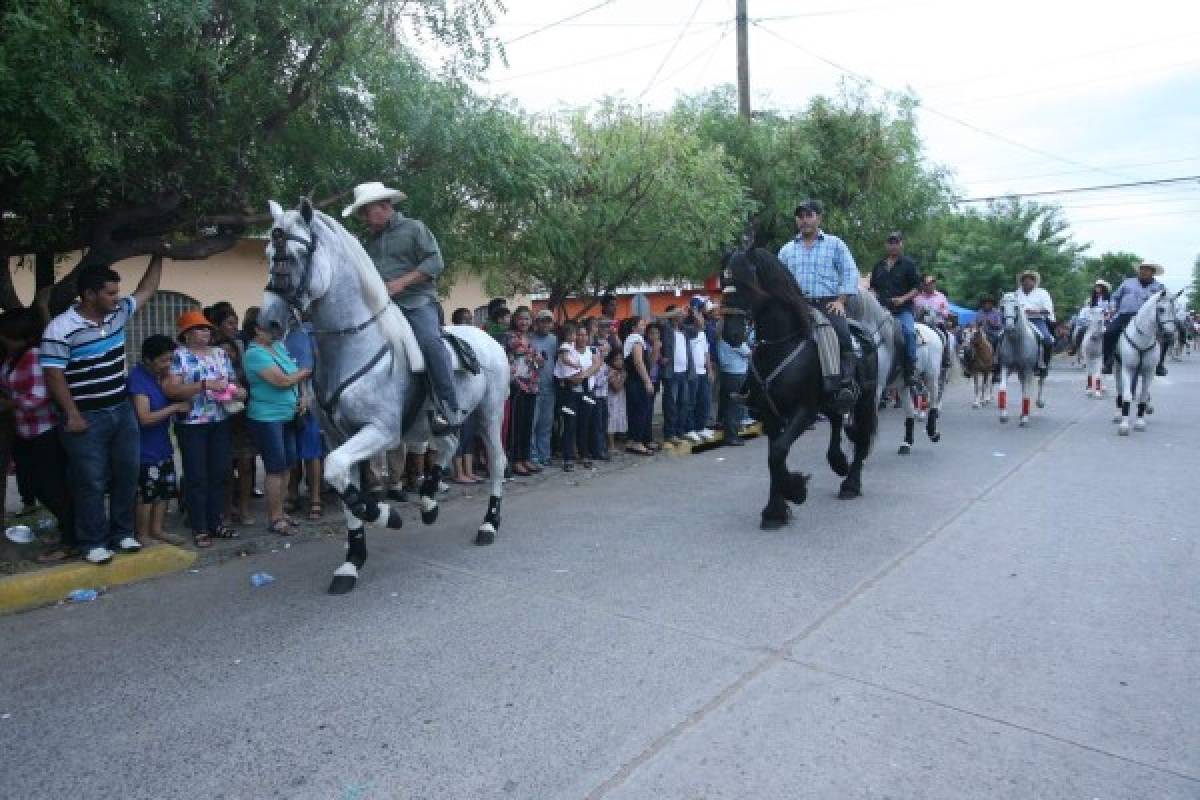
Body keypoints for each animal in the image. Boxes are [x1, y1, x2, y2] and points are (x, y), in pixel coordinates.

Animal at [720, 247, 883, 527]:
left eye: (746, 282)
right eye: (723, 281)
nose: (731, 334)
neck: (781, 344)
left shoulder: (804, 411)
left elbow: (778, 452)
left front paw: (795, 491)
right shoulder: (770, 415)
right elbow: (774, 457)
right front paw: (775, 510)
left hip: (864, 400)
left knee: (861, 438)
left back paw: (850, 484)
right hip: (830, 402)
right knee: (836, 421)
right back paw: (838, 461)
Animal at [998, 292, 1046, 424]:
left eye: (1016, 307)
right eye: (1002, 307)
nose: (1009, 326)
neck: (1016, 341)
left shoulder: (1028, 369)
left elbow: (1026, 392)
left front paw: (1025, 418)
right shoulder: (1006, 366)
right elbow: (1002, 388)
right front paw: (1004, 415)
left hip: (1038, 369)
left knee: (1041, 380)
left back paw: (1039, 402)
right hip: (1020, 371)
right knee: (1024, 385)